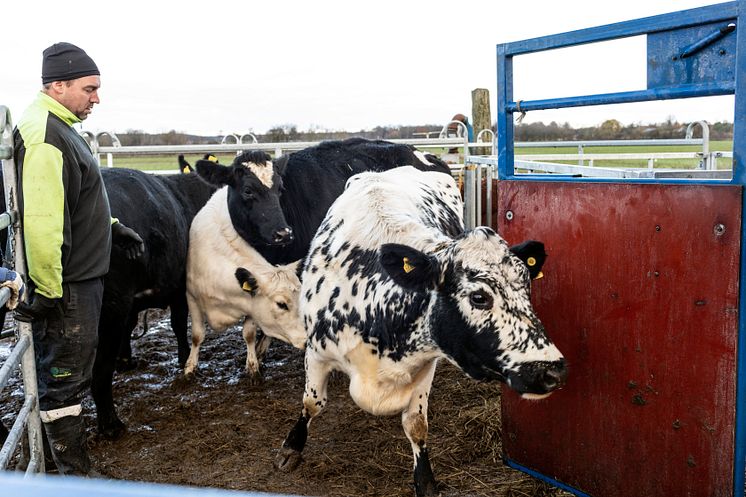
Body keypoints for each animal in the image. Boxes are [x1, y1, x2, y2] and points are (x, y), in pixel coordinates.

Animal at [92, 168, 215, 438]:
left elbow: (130, 327)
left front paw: (126, 359)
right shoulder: (180, 289)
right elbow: (178, 324)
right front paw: (184, 358)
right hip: (109, 310)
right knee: (101, 369)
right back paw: (110, 424)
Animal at [274, 167, 564, 496]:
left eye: (527, 286)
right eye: (479, 297)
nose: (551, 371)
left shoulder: (426, 363)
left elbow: (415, 425)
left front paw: (425, 480)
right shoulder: (316, 351)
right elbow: (312, 403)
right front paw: (292, 446)